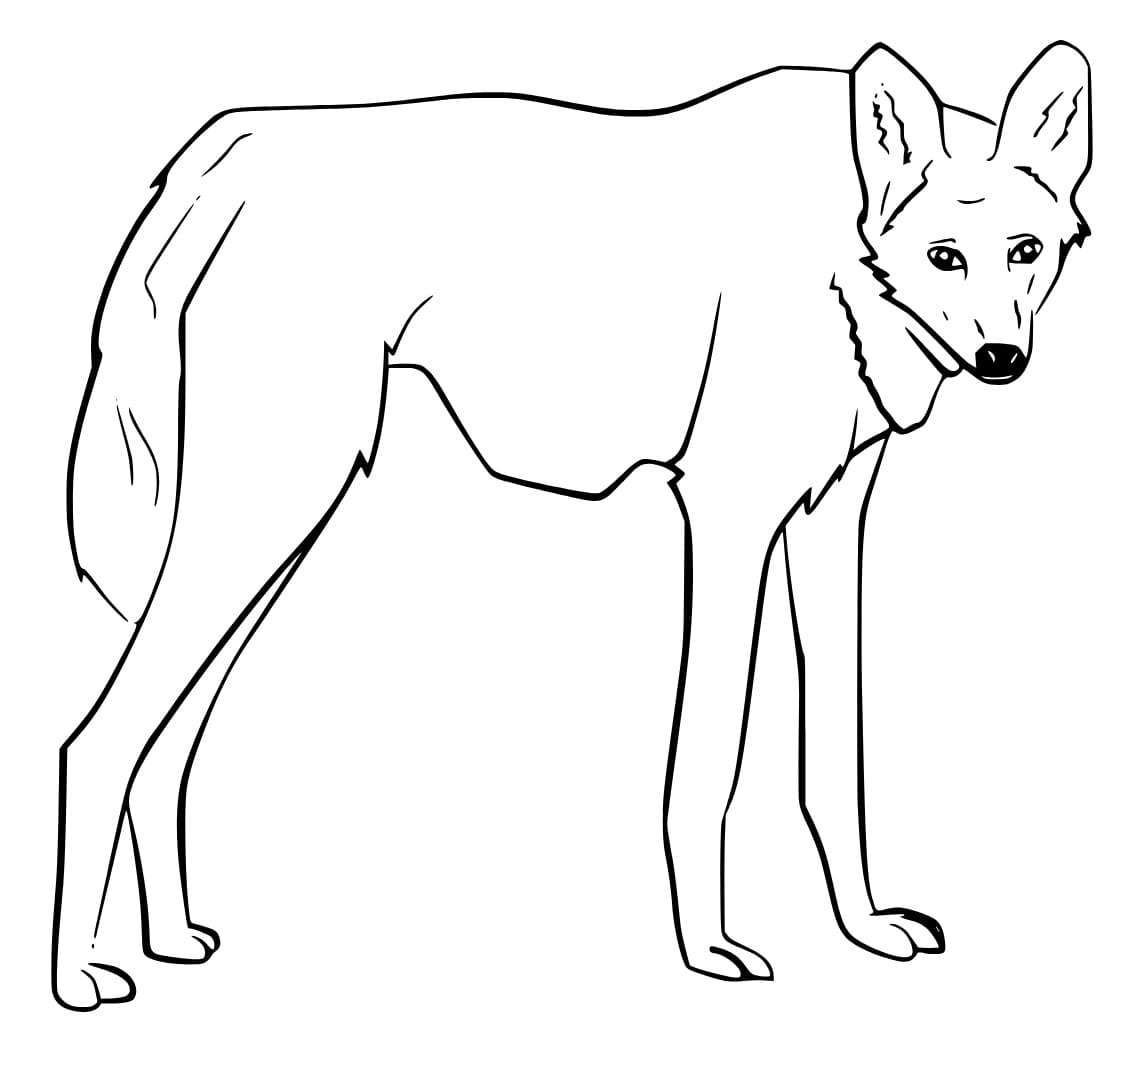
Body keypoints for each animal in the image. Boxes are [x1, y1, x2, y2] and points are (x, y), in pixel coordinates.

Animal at [56, 42, 1091, 1008]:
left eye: (1027, 251)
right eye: (944, 256)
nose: (1002, 357)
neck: (835, 254)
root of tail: (234, 147)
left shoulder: (832, 524)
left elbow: (836, 758)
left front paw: (864, 929)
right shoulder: (728, 523)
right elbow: (706, 764)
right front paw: (708, 949)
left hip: (277, 536)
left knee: (165, 746)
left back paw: (169, 940)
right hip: (264, 516)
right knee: (96, 742)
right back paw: (80, 978)